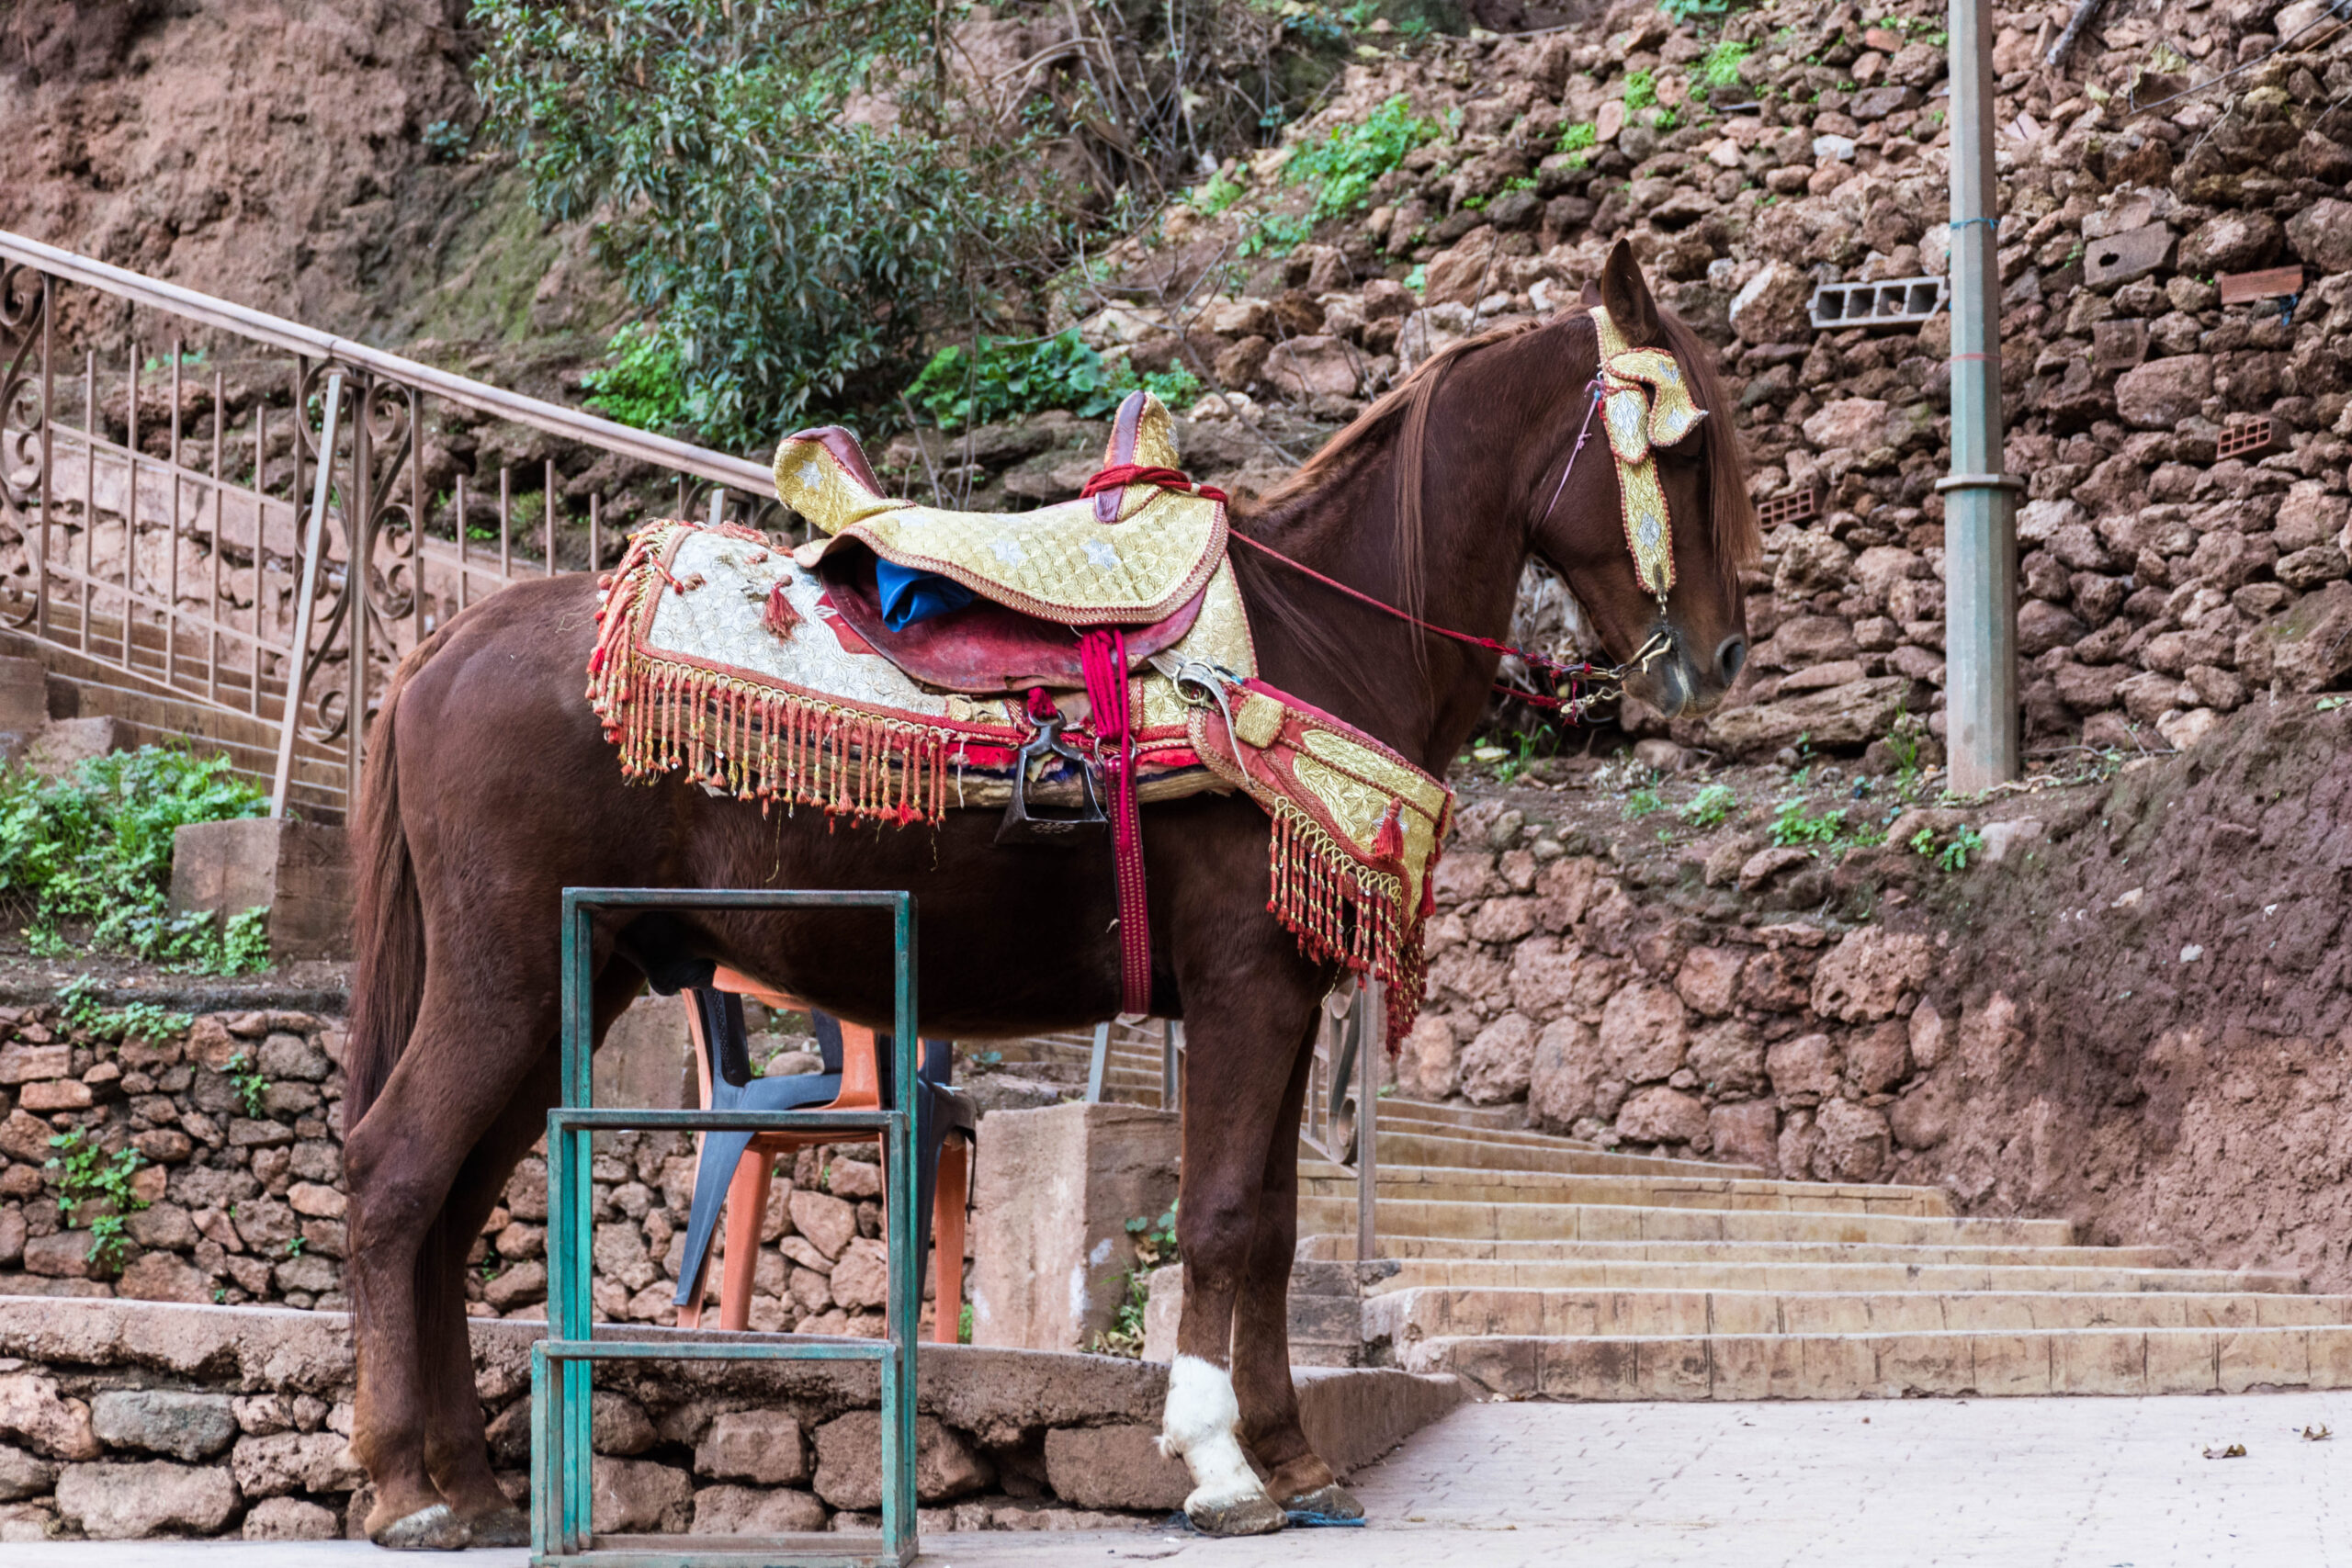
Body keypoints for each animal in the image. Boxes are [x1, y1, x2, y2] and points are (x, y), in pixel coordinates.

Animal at [340, 241, 1757, 1547]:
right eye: (1686, 447)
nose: (1723, 654)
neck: (1311, 641)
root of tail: (443, 645)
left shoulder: (1285, 998)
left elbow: (1277, 1229)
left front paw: (1295, 1457)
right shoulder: (1247, 989)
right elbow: (1224, 1218)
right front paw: (1222, 1467)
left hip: (579, 975)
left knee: (451, 1204)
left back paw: (468, 1482)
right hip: (505, 979)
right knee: (394, 1173)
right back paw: (406, 1486)